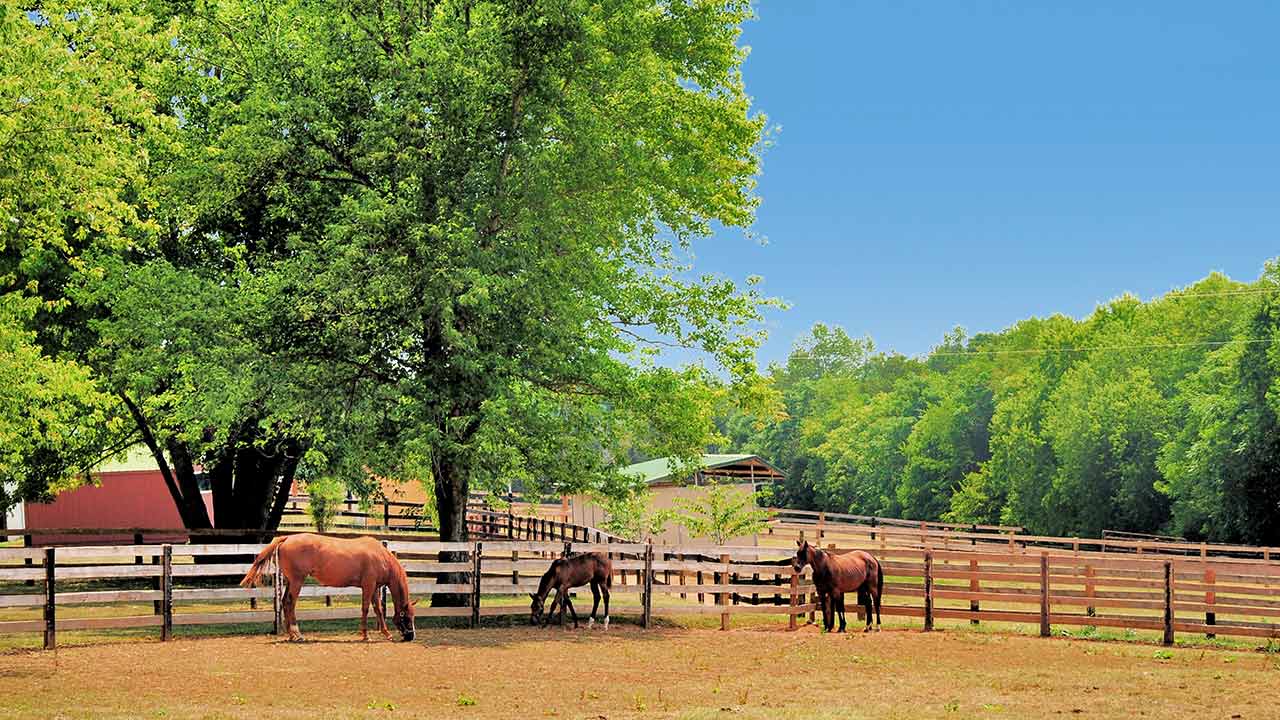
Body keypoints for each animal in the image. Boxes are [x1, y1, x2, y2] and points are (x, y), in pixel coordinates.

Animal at [240, 530, 414, 640]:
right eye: (406, 617)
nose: (411, 636)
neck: (380, 556)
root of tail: (287, 538)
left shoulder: (375, 587)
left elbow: (378, 609)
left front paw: (386, 633)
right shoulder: (368, 585)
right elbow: (365, 608)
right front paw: (365, 635)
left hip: (290, 581)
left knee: (284, 602)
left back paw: (291, 634)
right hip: (297, 581)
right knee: (290, 603)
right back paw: (297, 634)